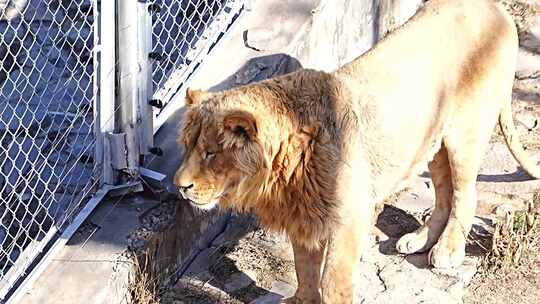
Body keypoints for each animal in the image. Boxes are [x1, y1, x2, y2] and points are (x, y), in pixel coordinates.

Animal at [173, 1, 540, 302]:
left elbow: (333, 281)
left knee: (465, 194)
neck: (281, 171)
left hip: (464, 134)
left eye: (210, 153)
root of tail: (496, 8)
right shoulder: (303, 217)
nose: (179, 186)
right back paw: (419, 239)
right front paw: (301, 299)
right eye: (188, 147)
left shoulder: (347, 218)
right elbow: (304, 270)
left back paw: (448, 249)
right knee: (444, 194)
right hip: (432, 143)